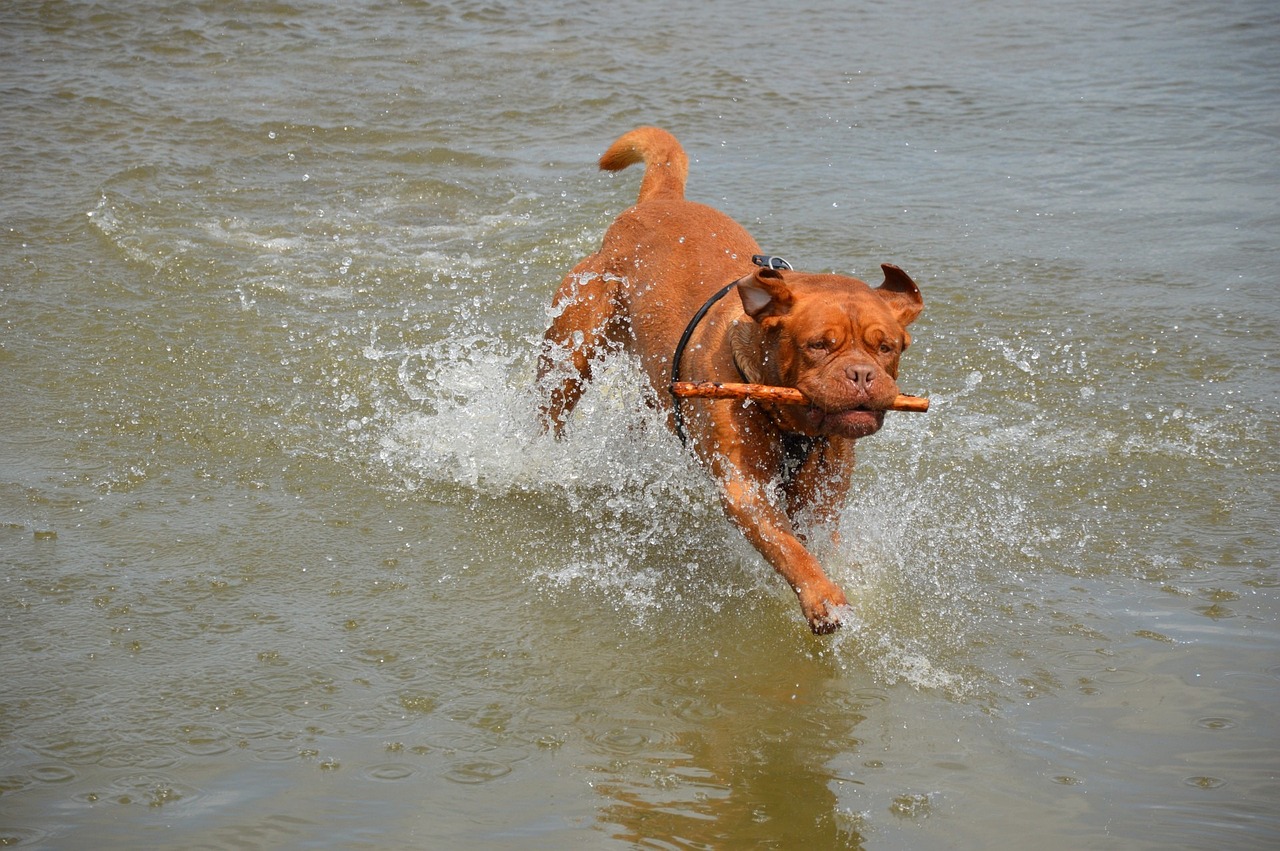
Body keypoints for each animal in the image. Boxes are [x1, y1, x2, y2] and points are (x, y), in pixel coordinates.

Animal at [535, 127, 926, 629]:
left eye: (887, 347)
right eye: (818, 344)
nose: (861, 374)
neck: (789, 420)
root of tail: (658, 201)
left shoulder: (824, 489)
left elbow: (815, 538)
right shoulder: (745, 487)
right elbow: (788, 548)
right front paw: (822, 597)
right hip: (569, 354)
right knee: (553, 406)